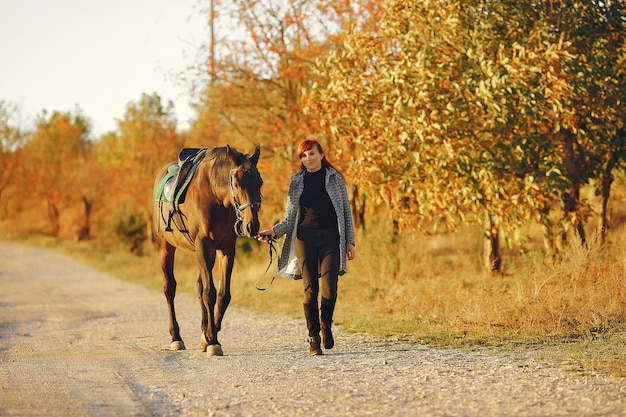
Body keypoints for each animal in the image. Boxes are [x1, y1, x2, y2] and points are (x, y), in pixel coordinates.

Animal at [152, 145, 262, 356]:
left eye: (260, 183)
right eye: (236, 184)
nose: (252, 226)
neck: (215, 195)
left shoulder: (226, 249)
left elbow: (223, 294)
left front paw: (208, 336)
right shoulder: (204, 244)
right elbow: (209, 292)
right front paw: (212, 340)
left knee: (198, 286)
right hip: (165, 248)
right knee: (169, 288)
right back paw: (176, 337)